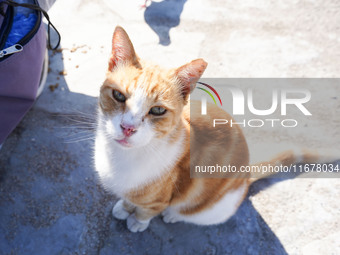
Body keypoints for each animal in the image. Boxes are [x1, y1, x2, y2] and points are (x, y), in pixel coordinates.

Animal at [95, 26, 326, 233]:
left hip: (214, 209)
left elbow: (147, 210)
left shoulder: (159, 199)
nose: (127, 127)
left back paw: (172, 215)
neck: (120, 157)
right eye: (118, 96)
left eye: (158, 110)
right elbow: (129, 200)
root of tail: (245, 177)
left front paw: (138, 221)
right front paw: (124, 208)